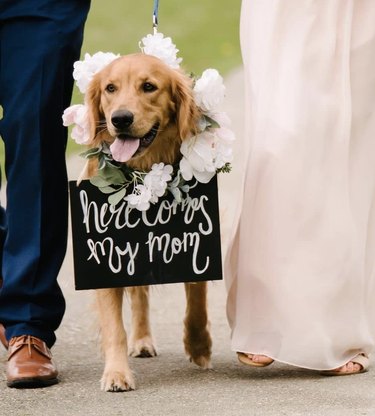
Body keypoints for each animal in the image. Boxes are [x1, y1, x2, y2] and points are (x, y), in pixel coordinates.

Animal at [83, 53, 212, 392]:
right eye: (110, 88)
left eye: (149, 86)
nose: (120, 119)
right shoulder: (105, 254)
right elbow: (114, 326)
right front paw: (116, 373)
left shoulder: (197, 242)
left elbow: (197, 300)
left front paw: (199, 346)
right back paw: (139, 340)